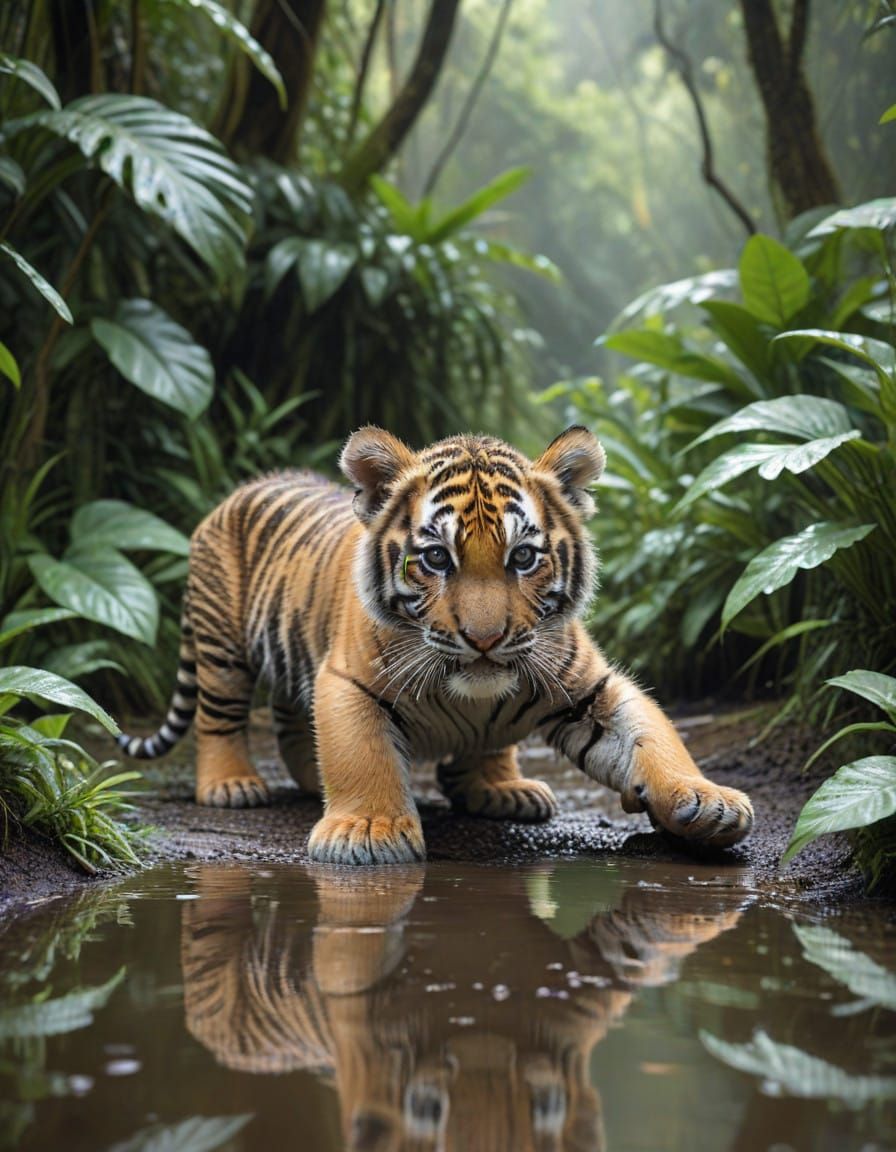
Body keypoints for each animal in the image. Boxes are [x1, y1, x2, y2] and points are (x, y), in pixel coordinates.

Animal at [118, 425, 754, 863]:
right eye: (436, 558)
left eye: (524, 557)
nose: (485, 638)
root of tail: (243, 489)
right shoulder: (347, 681)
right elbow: (360, 754)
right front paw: (367, 831)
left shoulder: (589, 687)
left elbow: (651, 733)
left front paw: (707, 800)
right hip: (221, 646)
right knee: (218, 717)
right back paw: (232, 785)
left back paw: (499, 787)